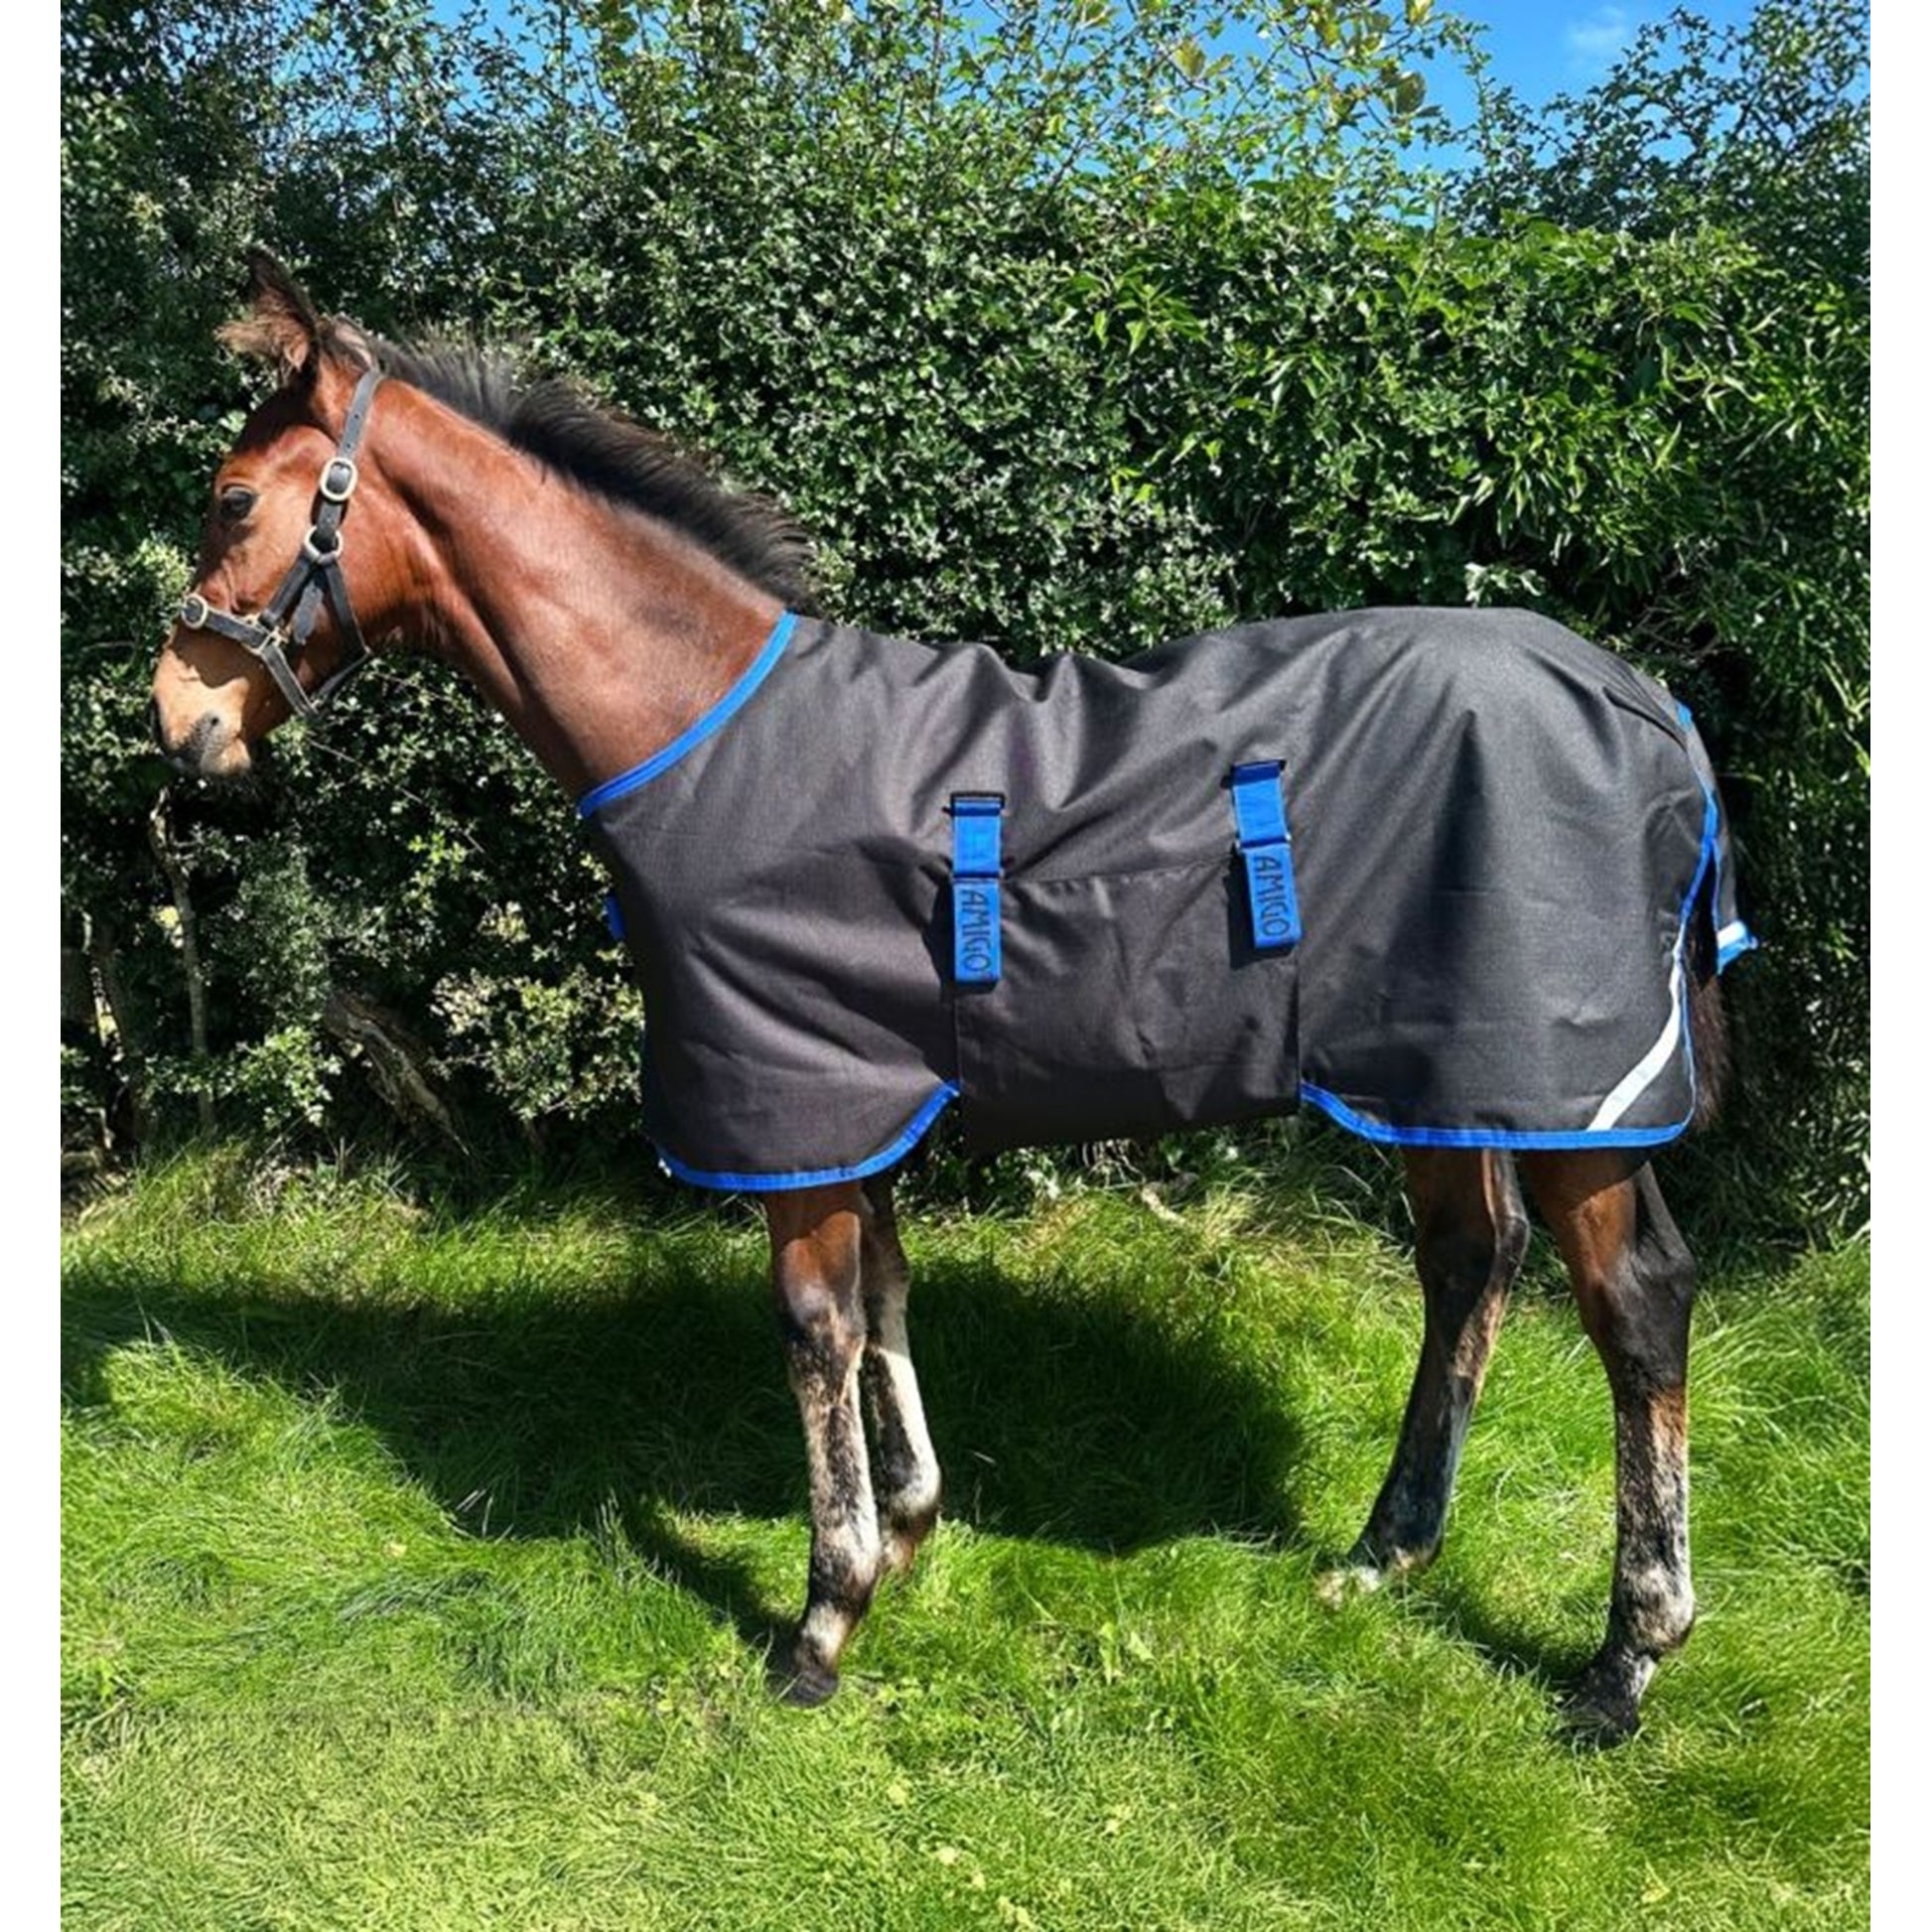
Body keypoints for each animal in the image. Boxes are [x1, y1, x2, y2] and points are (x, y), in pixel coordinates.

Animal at [149, 251, 1754, 1743]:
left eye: (231, 499)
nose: (179, 720)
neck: (706, 729)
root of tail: (1646, 702)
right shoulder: (849, 1093)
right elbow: (883, 1288)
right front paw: (911, 1528)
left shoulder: (792, 1101)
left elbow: (814, 1326)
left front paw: (823, 1614)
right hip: (1443, 1076)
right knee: (1468, 1265)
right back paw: (1383, 1553)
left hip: (1570, 1094)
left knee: (1633, 1305)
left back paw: (1625, 1658)